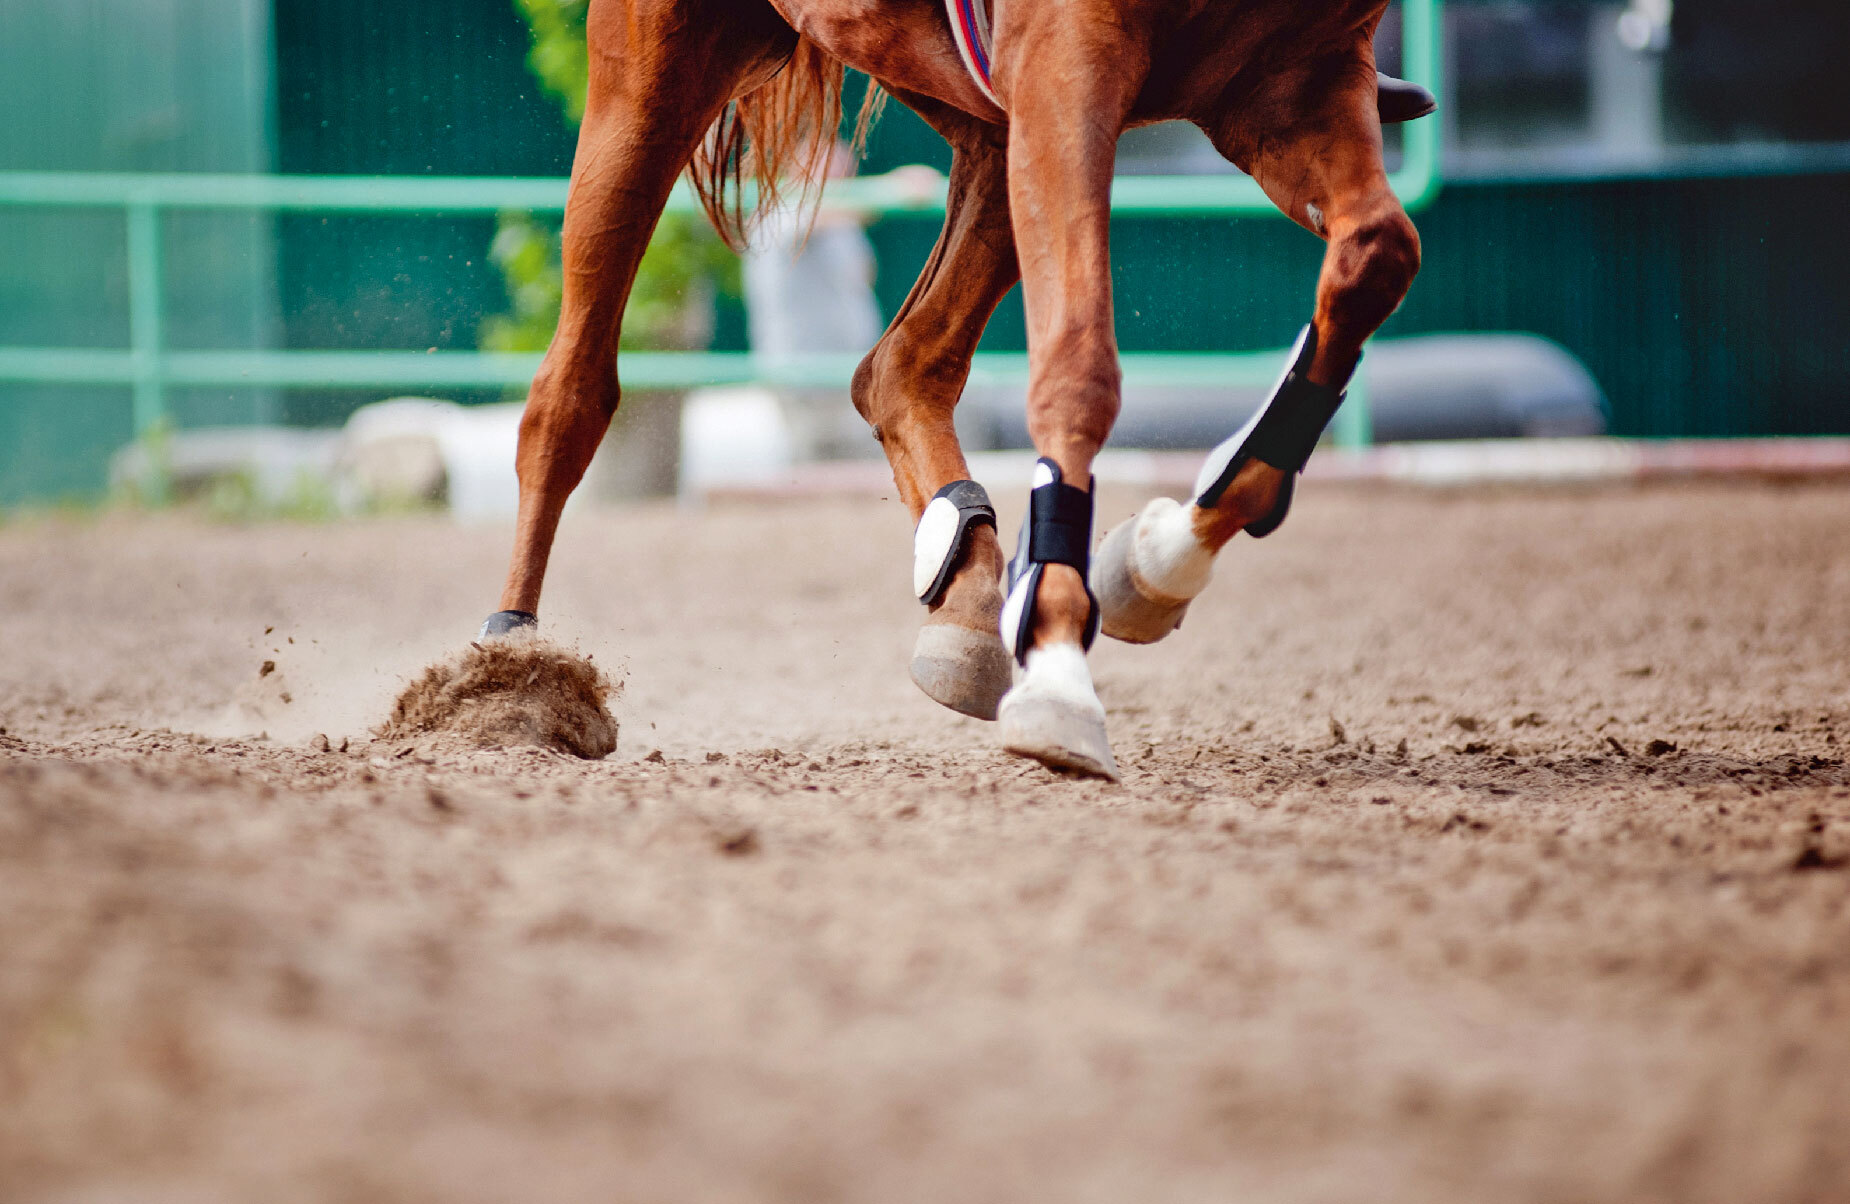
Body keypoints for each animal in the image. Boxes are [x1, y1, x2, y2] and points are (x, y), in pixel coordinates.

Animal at [478, 0, 1429, 780]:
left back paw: (968, 597)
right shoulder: (1068, 60)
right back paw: (506, 673)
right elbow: (1079, 365)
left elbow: (1377, 256)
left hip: (981, 113)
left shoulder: (1295, 79)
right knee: (571, 392)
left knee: (897, 369)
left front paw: (1155, 562)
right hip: (655, 77)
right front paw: (1061, 671)